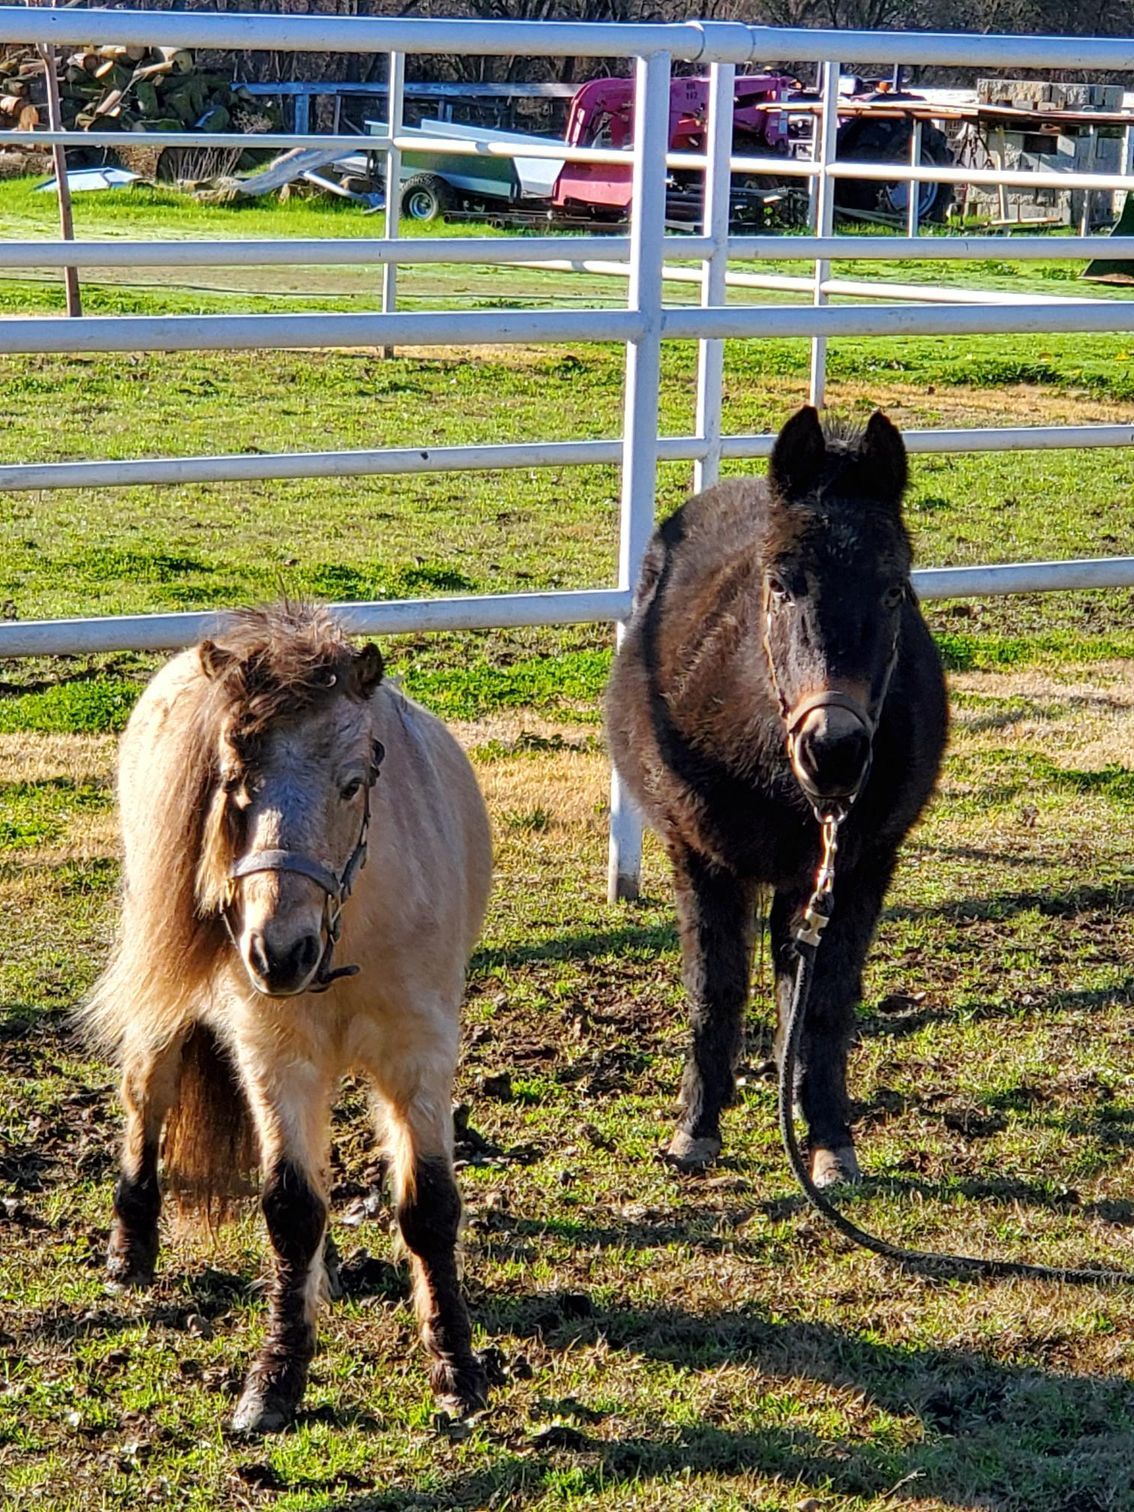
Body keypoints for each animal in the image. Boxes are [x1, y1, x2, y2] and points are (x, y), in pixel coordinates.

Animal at [81, 601, 493, 1434]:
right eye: (233, 782)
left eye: (353, 784)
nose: (278, 952)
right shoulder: (279, 1058)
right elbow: (289, 1208)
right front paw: (274, 1381)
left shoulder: (418, 1056)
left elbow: (429, 1207)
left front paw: (456, 1373)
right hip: (166, 1008)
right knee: (147, 1098)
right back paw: (128, 1253)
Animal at [605, 406, 948, 1183]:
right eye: (782, 585)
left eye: (894, 590)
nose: (835, 752)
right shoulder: (701, 856)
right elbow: (716, 987)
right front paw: (695, 1129)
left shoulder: (861, 866)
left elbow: (823, 1002)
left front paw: (828, 1139)